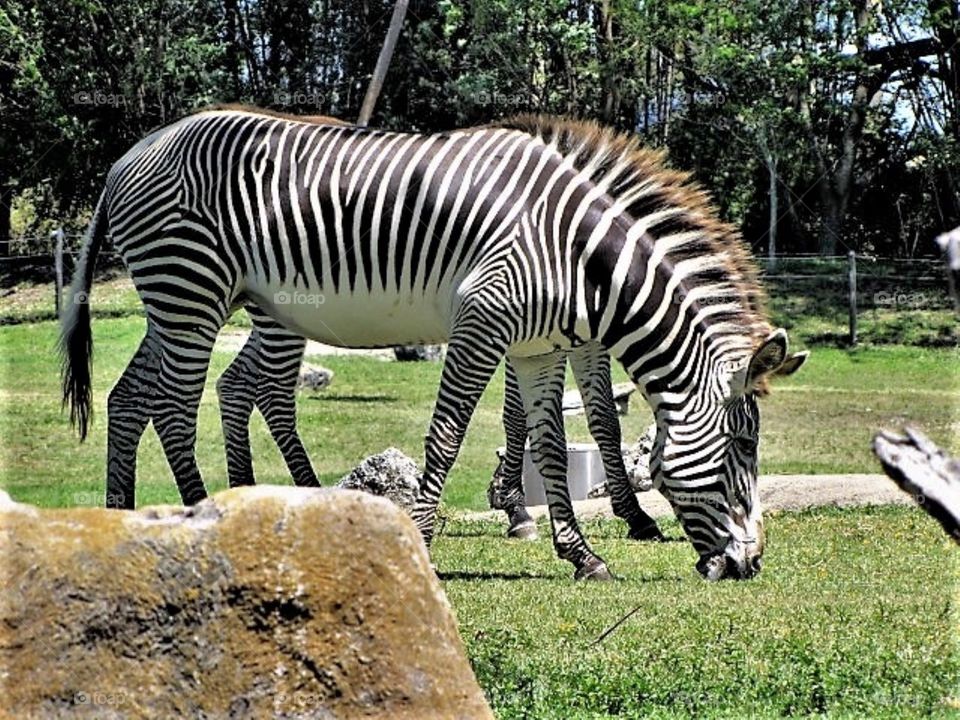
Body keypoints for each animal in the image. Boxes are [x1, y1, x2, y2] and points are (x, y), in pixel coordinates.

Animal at [61, 107, 806, 580]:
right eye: (744, 447)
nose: (751, 566)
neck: (575, 252)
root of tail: (129, 155)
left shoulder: (537, 348)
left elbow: (550, 450)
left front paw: (581, 555)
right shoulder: (483, 321)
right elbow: (446, 436)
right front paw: (420, 539)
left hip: (183, 301)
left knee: (133, 397)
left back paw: (122, 516)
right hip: (192, 289)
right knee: (175, 407)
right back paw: (201, 521)